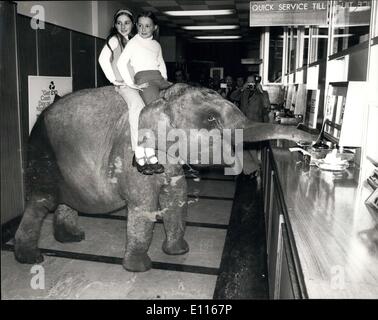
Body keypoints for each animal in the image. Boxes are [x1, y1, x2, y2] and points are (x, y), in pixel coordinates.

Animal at [14, 84, 316, 272]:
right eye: (211, 120)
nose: (314, 141)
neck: (161, 98)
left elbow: (177, 197)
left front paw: (178, 252)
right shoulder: (132, 156)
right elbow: (145, 205)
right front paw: (140, 268)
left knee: (63, 201)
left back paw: (71, 239)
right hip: (42, 156)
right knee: (40, 202)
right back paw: (31, 258)